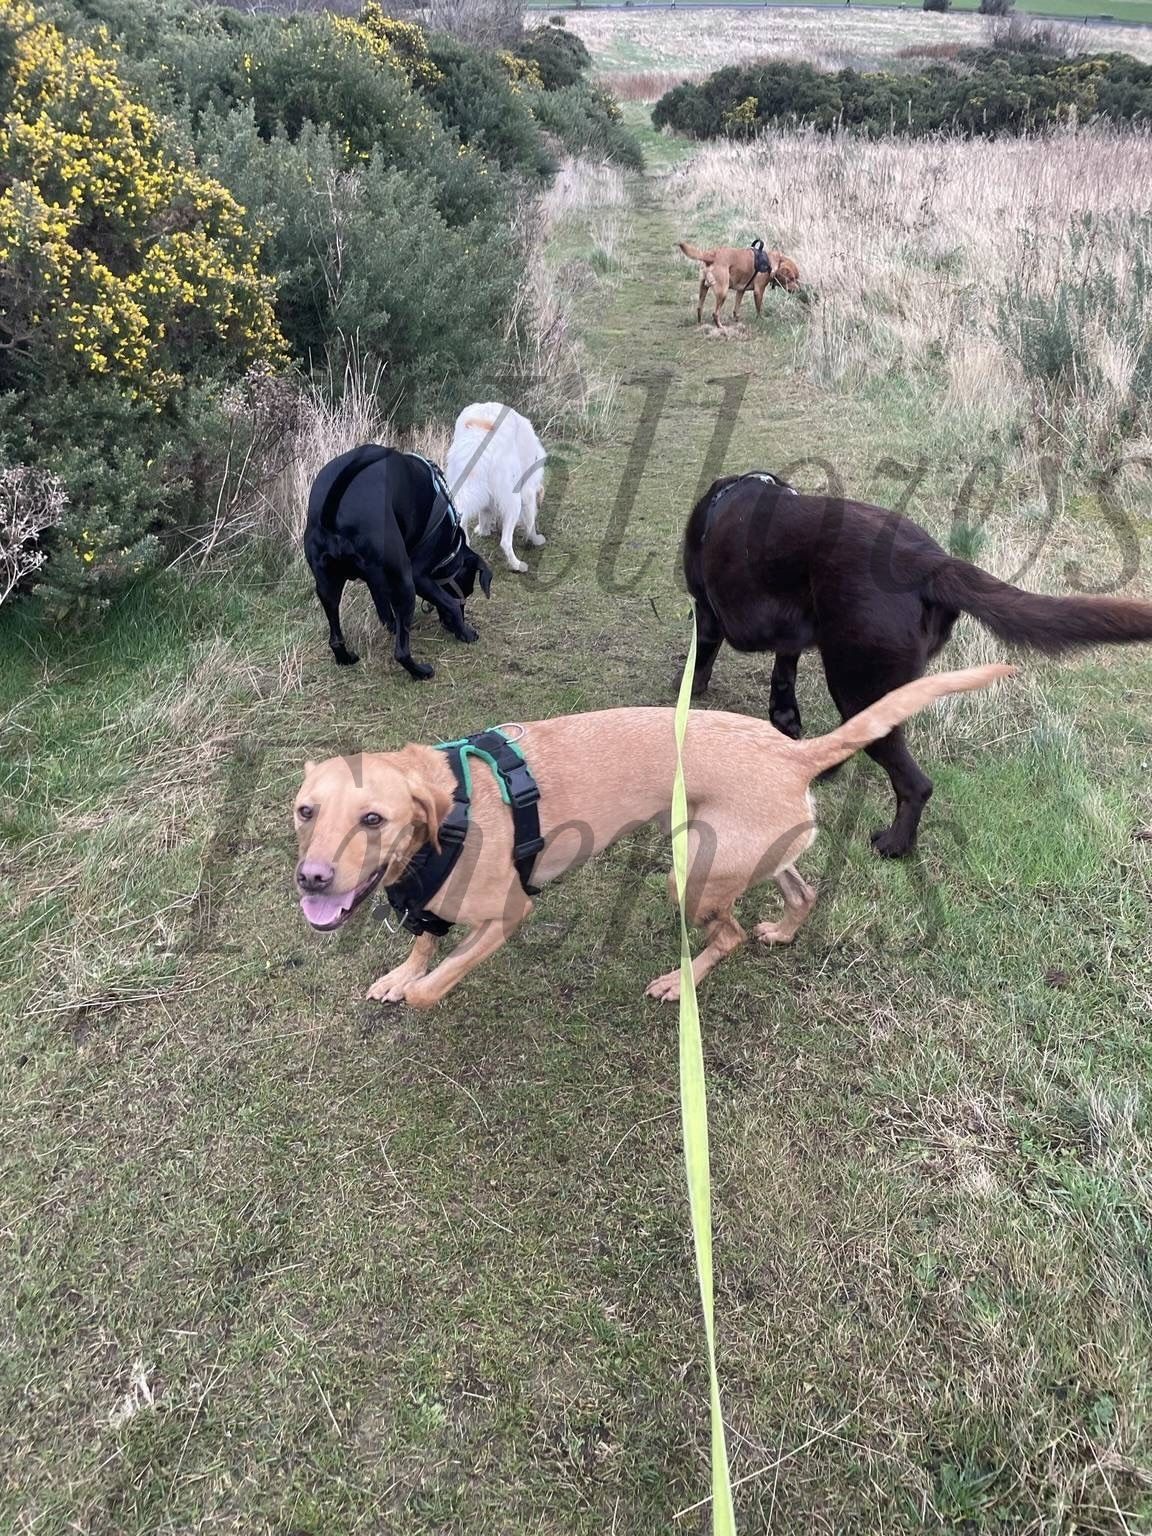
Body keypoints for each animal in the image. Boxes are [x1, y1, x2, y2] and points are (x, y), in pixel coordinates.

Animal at [292, 665, 1011, 1009]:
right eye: (304, 812)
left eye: (373, 819)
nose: (312, 879)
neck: (450, 812)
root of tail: (795, 752)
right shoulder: (430, 906)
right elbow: (422, 945)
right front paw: (400, 973)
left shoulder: (509, 914)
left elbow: (437, 980)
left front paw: (419, 988)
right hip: (744, 856)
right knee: (798, 896)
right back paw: (782, 930)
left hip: (687, 879)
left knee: (729, 935)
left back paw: (678, 981)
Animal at [304, 445, 492, 681]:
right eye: (467, 591)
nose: (449, 626)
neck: (450, 547)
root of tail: (334, 513)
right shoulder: (419, 577)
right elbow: (450, 603)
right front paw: (465, 631)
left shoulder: (377, 581)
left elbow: (384, 609)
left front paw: (393, 625)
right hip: (405, 583)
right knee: (401, 652)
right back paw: (421, 672)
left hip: (326, 587)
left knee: (335, 638)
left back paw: (345, 658)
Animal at [445, 403, 547, 574]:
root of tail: (478, 437)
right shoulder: (527, 492)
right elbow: (530, 521)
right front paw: (536, 539)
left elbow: (485, 513)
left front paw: (483, 531)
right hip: (514, 501)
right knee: (505, 541)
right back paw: (518, 565)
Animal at [684, 471, 1152, 857]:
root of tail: (924, 562)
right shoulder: (789, 639)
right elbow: (783, 679)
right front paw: (784, 720)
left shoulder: (705, 615)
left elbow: (700, 663)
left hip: (857, 685)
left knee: (915, 783)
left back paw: (894, 844)